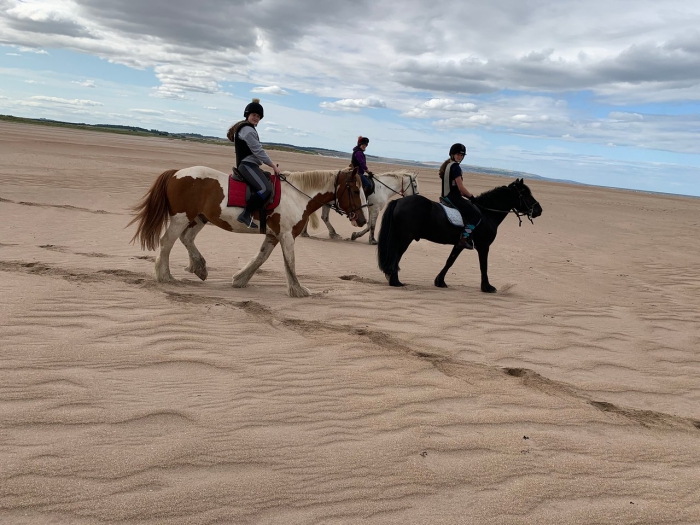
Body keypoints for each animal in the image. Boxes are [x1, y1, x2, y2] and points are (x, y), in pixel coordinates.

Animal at [128, 166, 366, 296]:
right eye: (355, 190)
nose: (362, 220)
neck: (297, 195)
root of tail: (176, 173)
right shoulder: (287, 235)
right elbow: (290, 263)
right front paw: (298, 290)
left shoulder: (273, 235)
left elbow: (261, 258)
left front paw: (240, 279)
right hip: (181, 218)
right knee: (167, 242)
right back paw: (165, 276)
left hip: (199, 218)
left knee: (187, 239)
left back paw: (199, 267)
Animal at [378, 176, 540, 290]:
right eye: (525, 193)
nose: (539, 210)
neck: (486, 213)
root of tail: (399, 201)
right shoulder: (484, 246)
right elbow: (484, 266)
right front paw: (487, 287)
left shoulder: (459, 244)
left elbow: (450, 261)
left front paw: (440, 281)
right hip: (404, 238)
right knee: (396, 256)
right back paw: (395, 281)